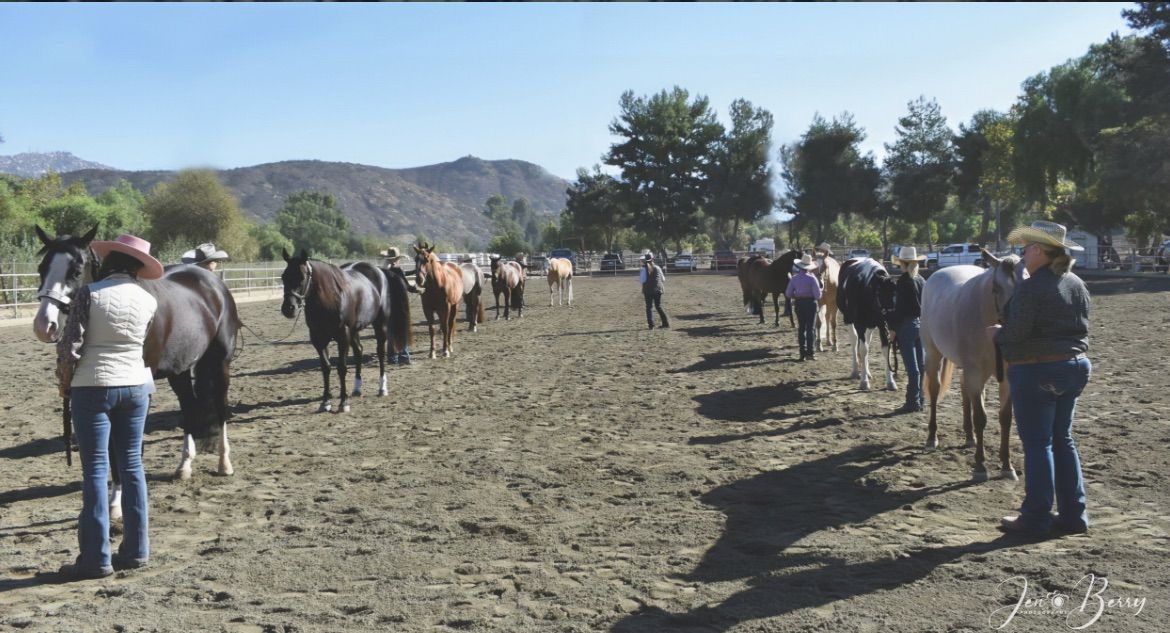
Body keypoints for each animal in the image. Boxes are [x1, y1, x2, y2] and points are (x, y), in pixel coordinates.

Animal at [33, 224, 242, 505]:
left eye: (75, 271)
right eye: (41, 268)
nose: (44, 325)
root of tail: (213, 283)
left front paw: (118, 504)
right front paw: (114, 501)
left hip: (220, 362)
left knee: (220, 407)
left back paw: (224, 463)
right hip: (180, 370)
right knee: (189, 407)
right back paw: (184, 466)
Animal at [833, 256, 893, 390]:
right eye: (879, 293)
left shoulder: (882, 325)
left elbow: (885, 349)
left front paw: (890, 382)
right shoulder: (859, 324)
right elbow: (863, 349)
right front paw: (864, 382)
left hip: (870, 324)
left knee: (866, 342)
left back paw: (868, 372)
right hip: (848, 319)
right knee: (855, 341)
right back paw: (856, 371)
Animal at [917, 249, 1020, 482]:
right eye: (996, 287)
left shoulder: (1007, 377)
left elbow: (1005, 419)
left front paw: (1007, 466)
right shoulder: (975, 372)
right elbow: (980, 417)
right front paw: (980, 466)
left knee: (965, 390)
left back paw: (969, 436)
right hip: (934, 356)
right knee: (935, 391)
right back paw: (932, 437)